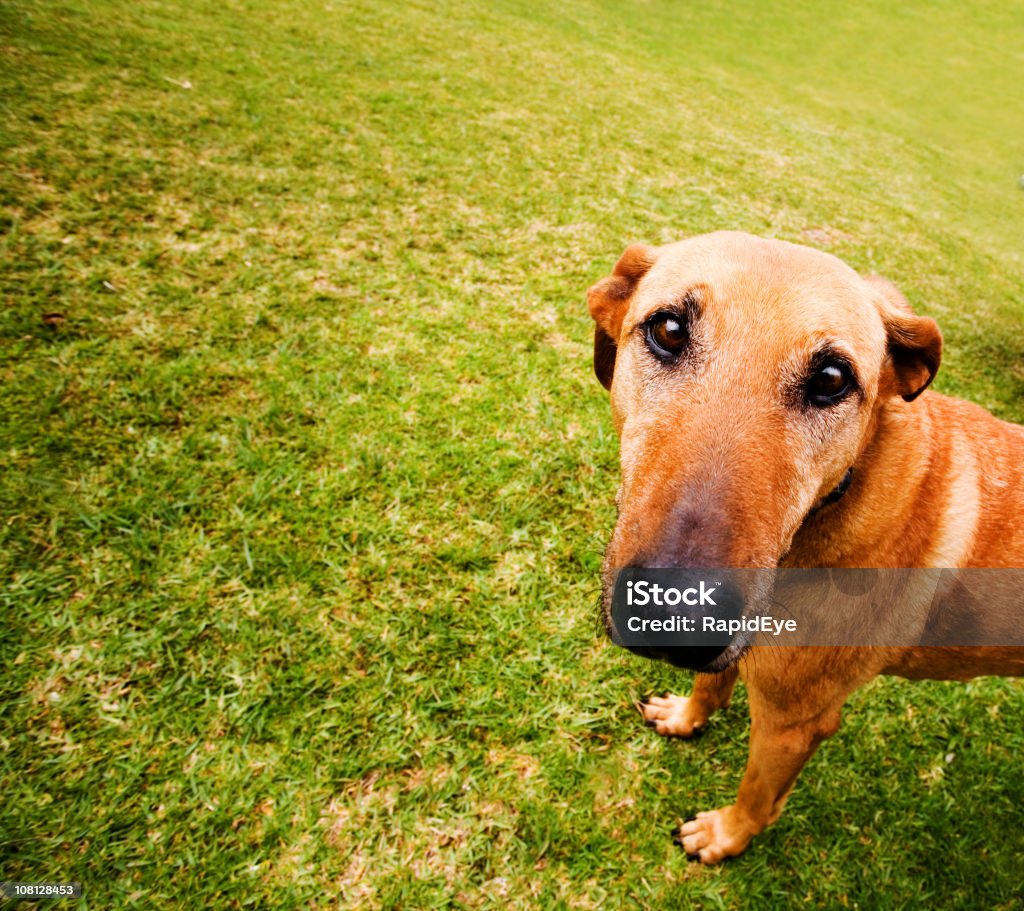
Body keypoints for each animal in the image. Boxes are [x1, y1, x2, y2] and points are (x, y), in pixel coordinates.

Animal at [589, 230, 1024, 863]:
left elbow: (757, 797)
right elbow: (709, 685)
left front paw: (725, 837)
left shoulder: (794, 722)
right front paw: (687, 716)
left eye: (832, 380)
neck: (841, 494)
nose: (676, 618)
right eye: (668, 330)